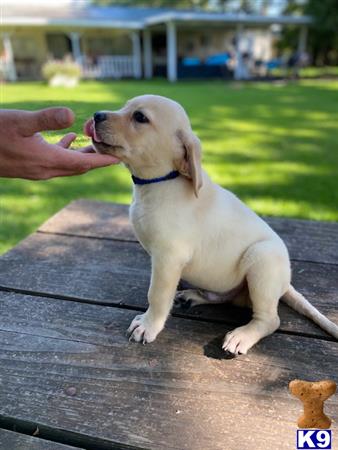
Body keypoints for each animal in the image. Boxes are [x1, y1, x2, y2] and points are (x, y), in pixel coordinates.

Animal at [84, 94, 338, 356]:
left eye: (140, 117)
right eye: (124, 107)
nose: (96, 115)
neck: (160, 183)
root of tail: (286, 283)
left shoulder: (168, 259)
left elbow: (157, 295)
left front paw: (148, 325)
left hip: (262, 260)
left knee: (269, 319)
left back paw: (242, 335)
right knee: (223, 297)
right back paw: (192, 297)